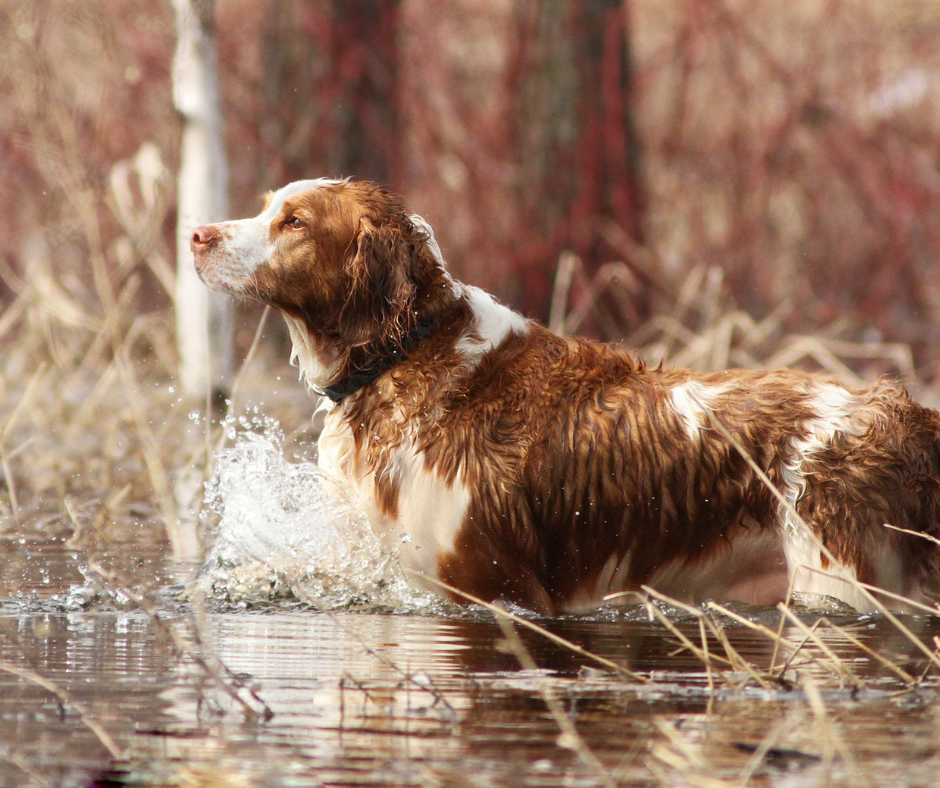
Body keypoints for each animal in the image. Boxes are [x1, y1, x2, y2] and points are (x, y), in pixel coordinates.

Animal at [191, 179, 940, 616]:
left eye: (295, 222)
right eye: (264, 207)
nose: (196, 233)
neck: (407, 357)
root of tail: (902, 417)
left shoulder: (488, 584)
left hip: (842, 579)